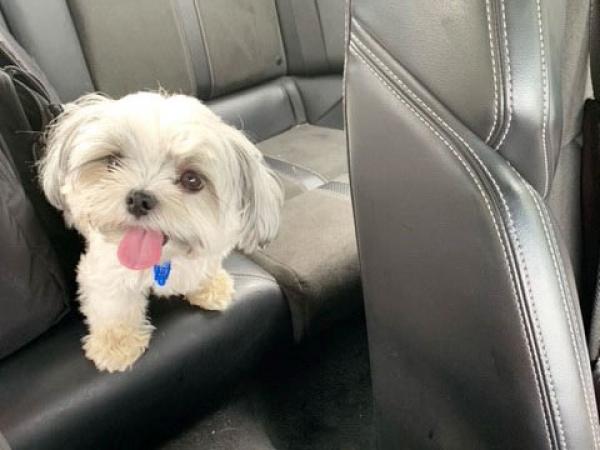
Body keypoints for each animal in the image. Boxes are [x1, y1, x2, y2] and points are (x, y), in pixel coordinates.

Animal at [39, 91, 284, 372]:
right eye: (112, 162)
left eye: (192, 179)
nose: (139, 199)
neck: (163, 259)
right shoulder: (104, 272)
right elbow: (114, 307)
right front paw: (116, 346)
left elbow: (206, 266)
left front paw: (210, 286)